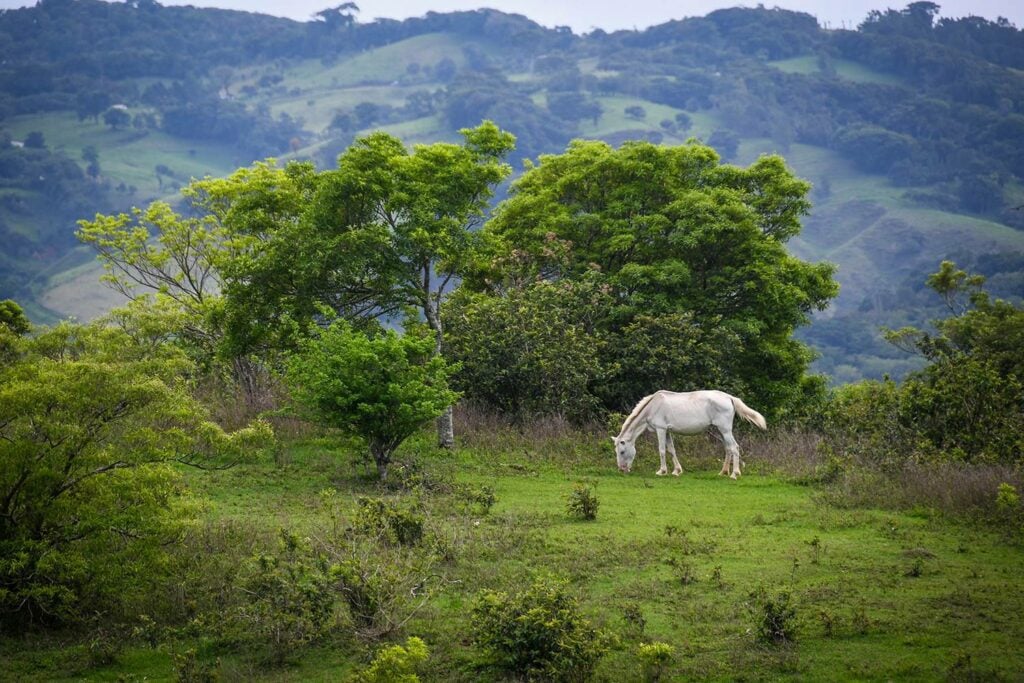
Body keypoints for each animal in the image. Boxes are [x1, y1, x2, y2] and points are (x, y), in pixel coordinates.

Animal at [610, 389, 765, 481]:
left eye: (622, 451)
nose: (621, 469)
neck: (652, 406)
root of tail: (729, 397)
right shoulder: (667, 431)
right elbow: (671, 450)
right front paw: (676, 471)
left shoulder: (661, 429)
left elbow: (661, 450)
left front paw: (662, 471)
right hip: (720, 430)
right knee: (728, 448)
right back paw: (723, 472)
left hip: (725, 429)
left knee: (735, 447)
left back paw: (734, 474)